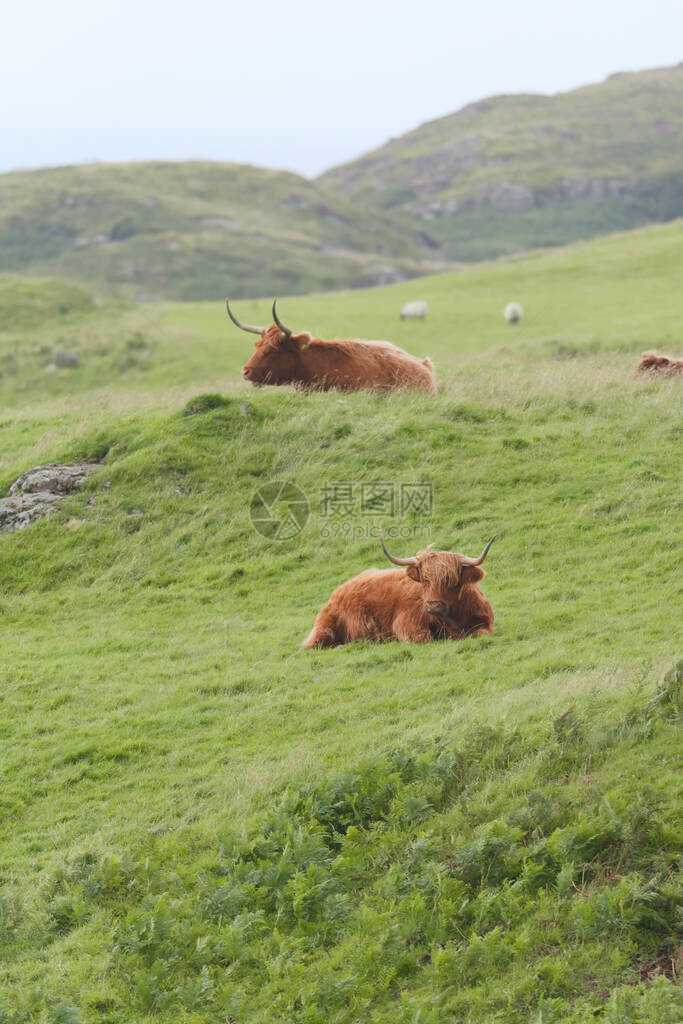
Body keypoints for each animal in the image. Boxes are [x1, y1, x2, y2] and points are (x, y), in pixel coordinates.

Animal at [301, 536, 493, 647]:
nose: (433, 606)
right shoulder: (407, 623)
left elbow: (482, 634)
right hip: (324, 628)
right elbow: (424, 638)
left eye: (451, 581)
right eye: (424, 580)